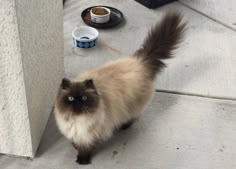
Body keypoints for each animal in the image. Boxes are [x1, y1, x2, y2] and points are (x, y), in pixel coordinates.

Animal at [54, 12, 185, 165]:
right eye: (70, 98)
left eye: (84, 98)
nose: (78, 103)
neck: (76, 120)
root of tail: (140, 62)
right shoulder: (76, 132)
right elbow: (76, 142)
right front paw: (75, 147)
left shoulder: (90, 134)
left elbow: (85, 148)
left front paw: (82, 160)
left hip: (133, 106)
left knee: (134, 116)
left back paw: (124, 126)